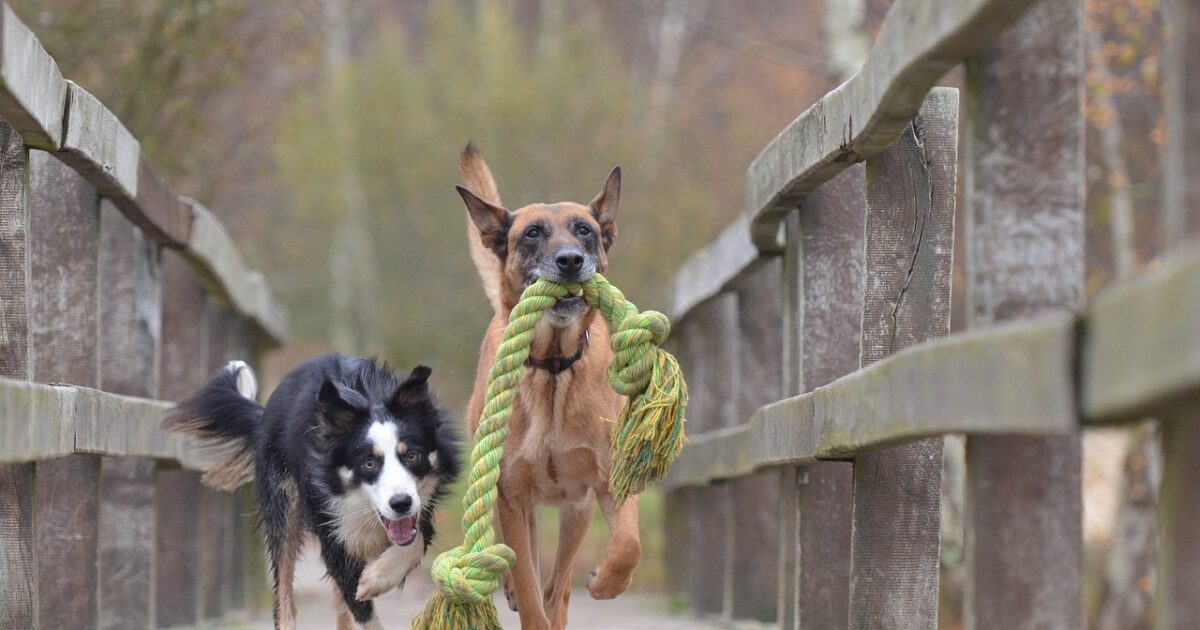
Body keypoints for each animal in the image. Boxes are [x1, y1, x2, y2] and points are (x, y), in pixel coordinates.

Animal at [171, 355, 460, 624]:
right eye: (368, 463)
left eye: (412, 456)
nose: (401, 503)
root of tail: (264, 415)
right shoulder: (332, 531)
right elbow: (360, 607)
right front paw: (370, 583)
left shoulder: (422, 506)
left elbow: (416, 539)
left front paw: (377, 578)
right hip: (283, 505)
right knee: (284, 597)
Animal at [453, 143, 643, 628]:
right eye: (533, 233)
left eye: (585, 230)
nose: (570, 260)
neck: (555, 367)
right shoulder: (512, 496)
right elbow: (528, 587)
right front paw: (520, 592)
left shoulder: (608, 482)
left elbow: (628, 544)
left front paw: (608, 581)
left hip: (576, 512)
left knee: (559, 585)